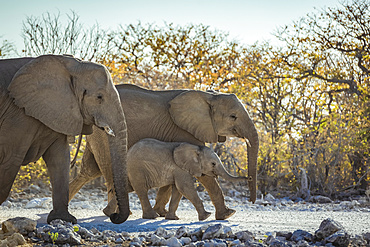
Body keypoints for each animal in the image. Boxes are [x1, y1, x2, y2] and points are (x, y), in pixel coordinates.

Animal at [0, 55, 130, 225]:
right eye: (99, 97)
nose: (114, 216)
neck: (71, 65)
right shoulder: (17, 114)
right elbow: (11, 159)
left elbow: (60, 158)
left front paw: (63, 219)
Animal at [69, 83, 260, 220]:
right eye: (233, 116)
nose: (252, 200)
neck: (208, 95)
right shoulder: (184, 130)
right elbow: (205, 176)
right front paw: (227, 215)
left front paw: (162, 213)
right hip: (104, 134)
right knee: (108, 169)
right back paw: (119, 214)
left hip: (96, 135)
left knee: (89, 171)